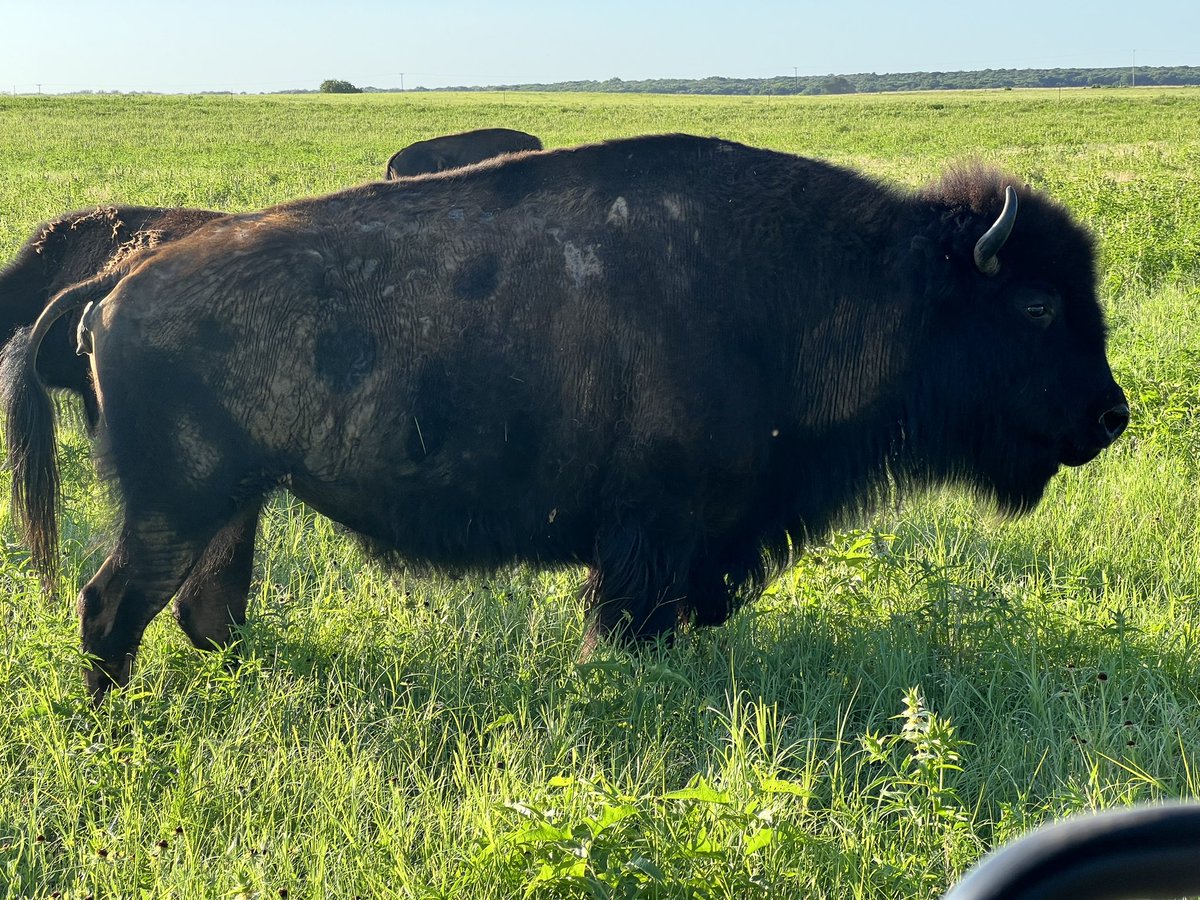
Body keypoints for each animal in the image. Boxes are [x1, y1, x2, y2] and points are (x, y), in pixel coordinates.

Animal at [2, 134, 1128, 701]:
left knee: (206, 610)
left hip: (236, 501)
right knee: (110, 606)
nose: (1111, 414)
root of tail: (115, 286)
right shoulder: (650, 539)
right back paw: (113, 721)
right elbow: (622, 627)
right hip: (176, 503)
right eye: (1037, 304)